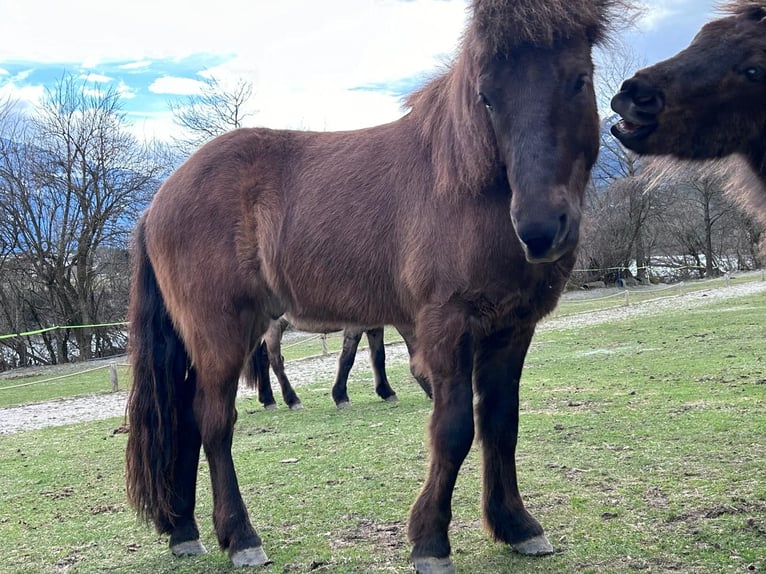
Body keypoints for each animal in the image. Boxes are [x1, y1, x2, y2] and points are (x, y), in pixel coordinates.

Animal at [250, 317, 431, 409]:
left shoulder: (374, 325)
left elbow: (379, 356)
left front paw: (386, 392)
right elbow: (347, 358)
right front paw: (341, 396)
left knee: (263, 359)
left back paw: (268, 400)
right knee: (276, 361)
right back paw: (293, 400)